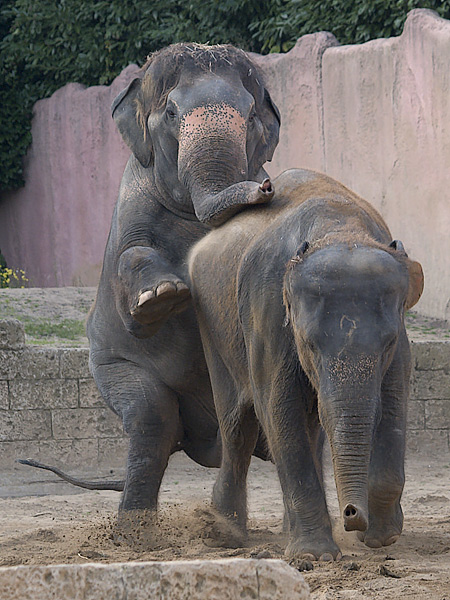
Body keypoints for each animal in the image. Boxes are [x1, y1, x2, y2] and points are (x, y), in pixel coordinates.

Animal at [189, 168, 426, 556]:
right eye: (309, 345)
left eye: (388, 343)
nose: (352, 514)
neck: (340, 228)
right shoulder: (267, 310)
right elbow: (277, 408)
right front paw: (314, 554)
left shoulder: (401, 342)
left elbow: (392, 405)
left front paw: (383, 536)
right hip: (211, 324)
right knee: (238, 427)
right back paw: (223, 532)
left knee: (308, 426)